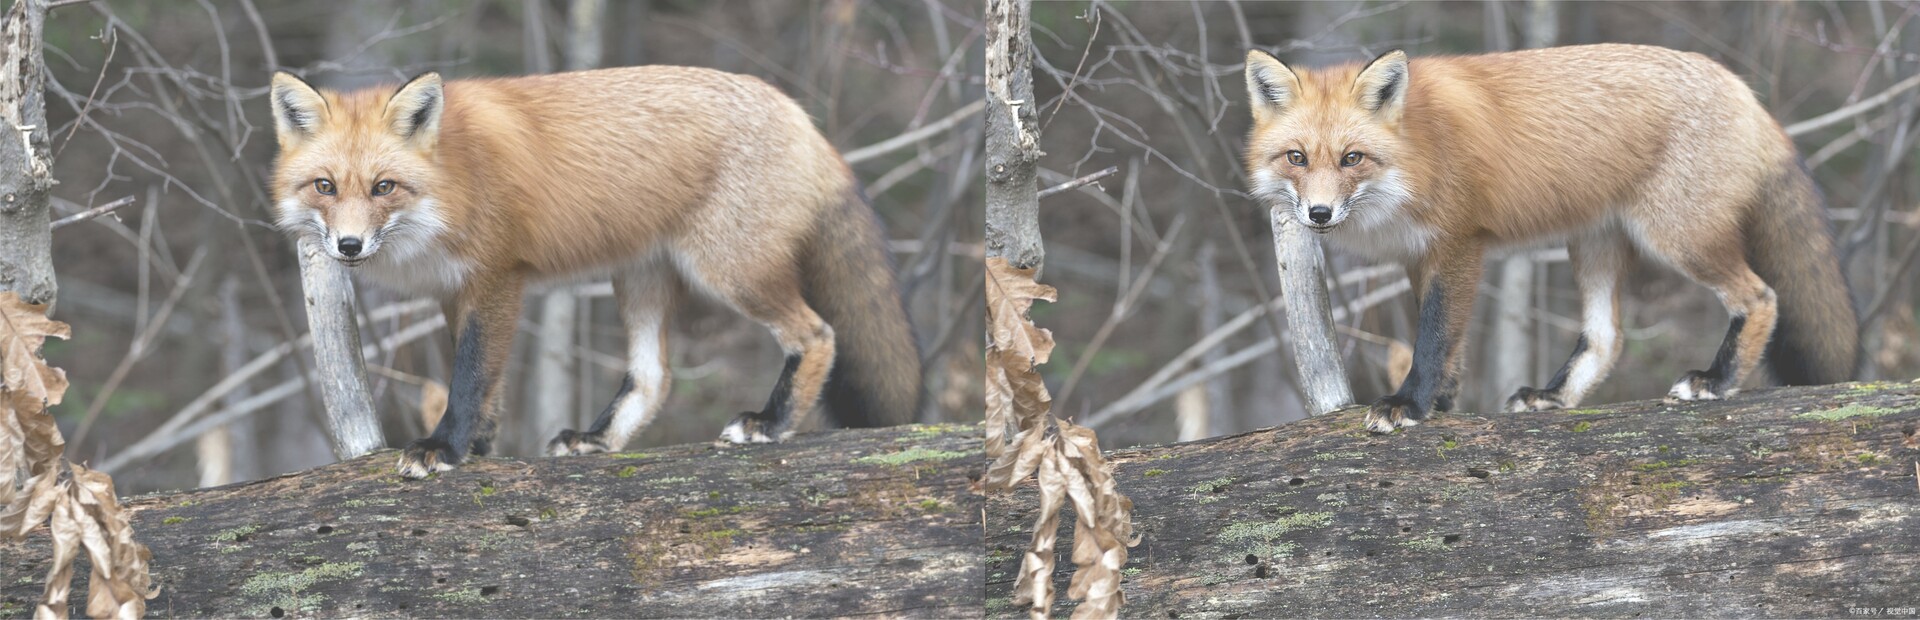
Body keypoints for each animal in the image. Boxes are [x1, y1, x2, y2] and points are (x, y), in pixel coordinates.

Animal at [268, 66, 923, 478]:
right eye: (325, 187)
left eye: (384, 187)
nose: (349, 246)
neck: (453, 181)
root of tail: (799, 114)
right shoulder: (457, 291)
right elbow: (489, 385)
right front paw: (478, 448)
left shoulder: (497, 277)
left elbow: (471, 375)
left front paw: (445, 449)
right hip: (640, 278)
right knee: (654, 377)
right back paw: (599, 439)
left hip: (730, 271)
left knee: (817, 333)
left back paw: (770, 422)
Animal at [1242, 44, 1859, 434]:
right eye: (1296, 158)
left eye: (1352, 158)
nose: (1319, 214)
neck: (1417, 152)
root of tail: (1741, 88)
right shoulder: (1421, 256)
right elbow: (1451, 344)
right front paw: (1441, 403)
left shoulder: (1459, 243)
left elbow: (1435, 335)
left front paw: (1410, 405)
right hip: (1594, 244)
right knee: (1607, 338)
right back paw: (1555, 396)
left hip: (1678, 238)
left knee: (1760, 296)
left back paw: (1716, 380)